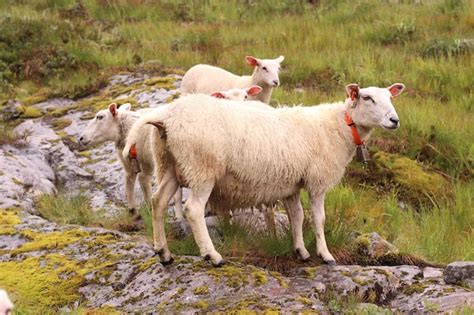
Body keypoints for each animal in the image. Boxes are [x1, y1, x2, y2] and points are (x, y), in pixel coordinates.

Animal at [125, 84, 404, 266]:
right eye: (367, 98)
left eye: (390, 96)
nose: (395, 120)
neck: (337, 126)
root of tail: (167, 116)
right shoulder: (317, 181)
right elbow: (318, 218)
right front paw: (325, 254)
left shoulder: (292, 183)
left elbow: (297, 216)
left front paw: (300, 250)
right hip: (202, 167)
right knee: (193, 209)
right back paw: (212, 255)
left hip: (169, 165)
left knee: (158, 202)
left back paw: (163, 253)